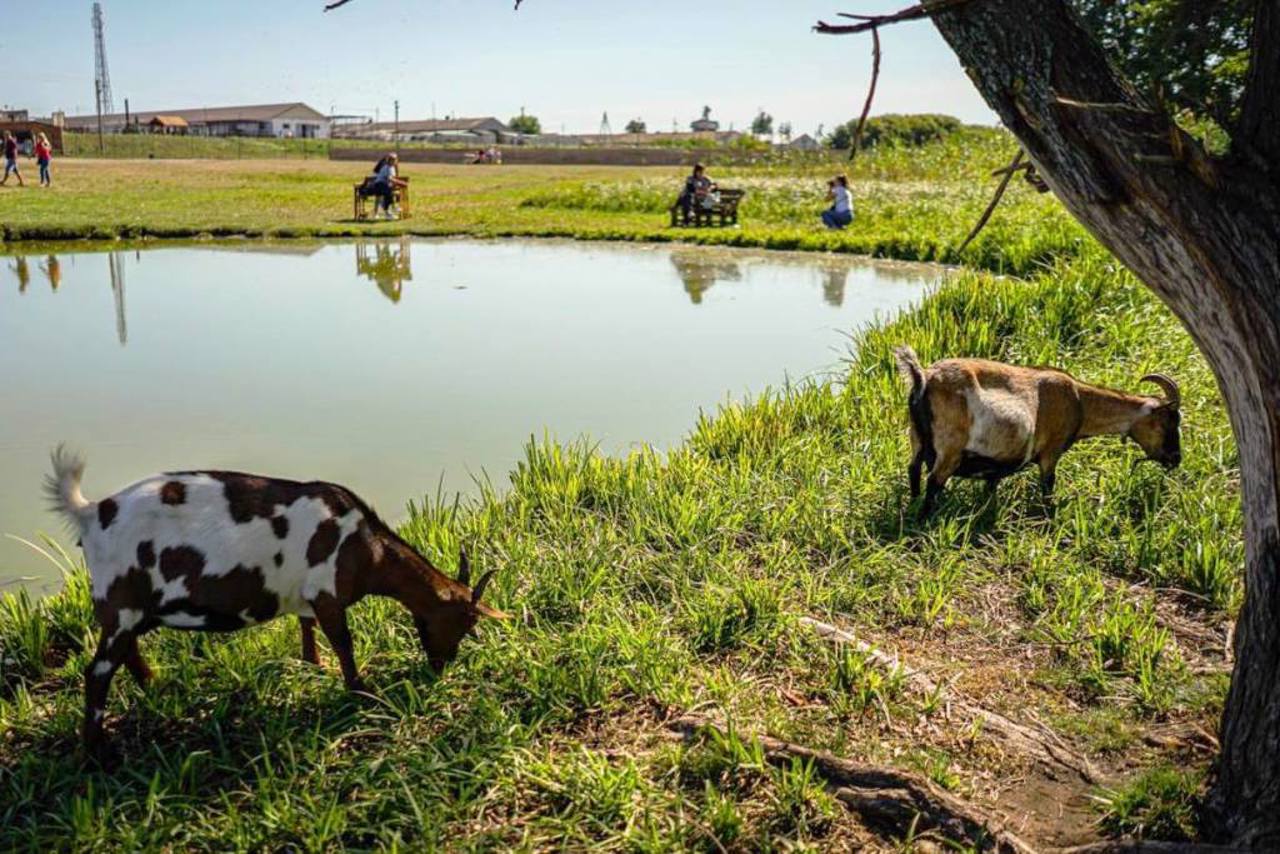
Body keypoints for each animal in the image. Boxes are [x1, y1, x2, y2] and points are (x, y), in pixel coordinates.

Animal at [49, 448, 509, 752]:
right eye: (466, 622)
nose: (441, 666)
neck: (366, 548)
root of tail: (91, 512)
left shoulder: (307, 595)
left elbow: (307, 627)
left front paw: (313, 665)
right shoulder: (327, 591)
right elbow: (344, 642)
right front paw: (361, 691)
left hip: (130, 611)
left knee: (126, 653)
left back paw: (154, 686)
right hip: (121, 602)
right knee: (97, 672)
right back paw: (97, 753)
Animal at [890, 345, 1177, 517]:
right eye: (1170, 420)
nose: (1176, 459)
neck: (1080, 400)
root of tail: (924, 377)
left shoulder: (997, 462)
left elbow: (991, 487)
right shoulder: (1051, 451)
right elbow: (1048, 485)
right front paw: (1050, 516)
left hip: (917, 437)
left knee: (913, 469)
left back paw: (913, 506)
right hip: (951, 447)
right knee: (934, 480)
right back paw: (926, 518)